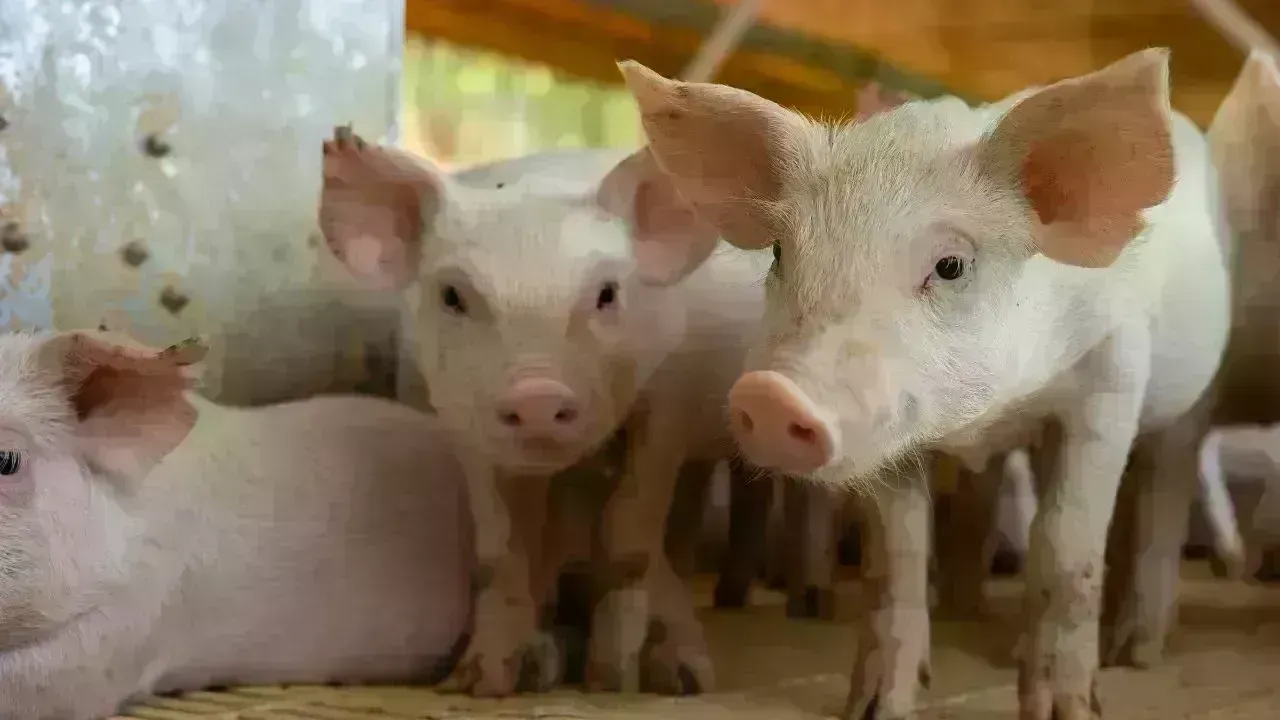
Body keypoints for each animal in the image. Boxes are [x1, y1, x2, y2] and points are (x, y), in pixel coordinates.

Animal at [317, 128, 771, 696]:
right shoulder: (461, 422)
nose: (536, 395)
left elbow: (631, 536)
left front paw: (613, 680)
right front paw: (482, 682)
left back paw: (682, 671)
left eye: (607, 293)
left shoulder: (668, 404)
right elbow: (505, 551)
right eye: (452, 295)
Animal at [612, 47, 1231, 720]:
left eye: (951, 265)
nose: (770, 396)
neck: (984, 418)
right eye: (779, 252)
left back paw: (1136, 651)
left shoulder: (1114, 369)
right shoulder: (891, 438)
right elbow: (897, 556)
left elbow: (1067, 543)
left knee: (1163, 491)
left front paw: (1065, 710)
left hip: (1193, 400)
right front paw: (876, 707)